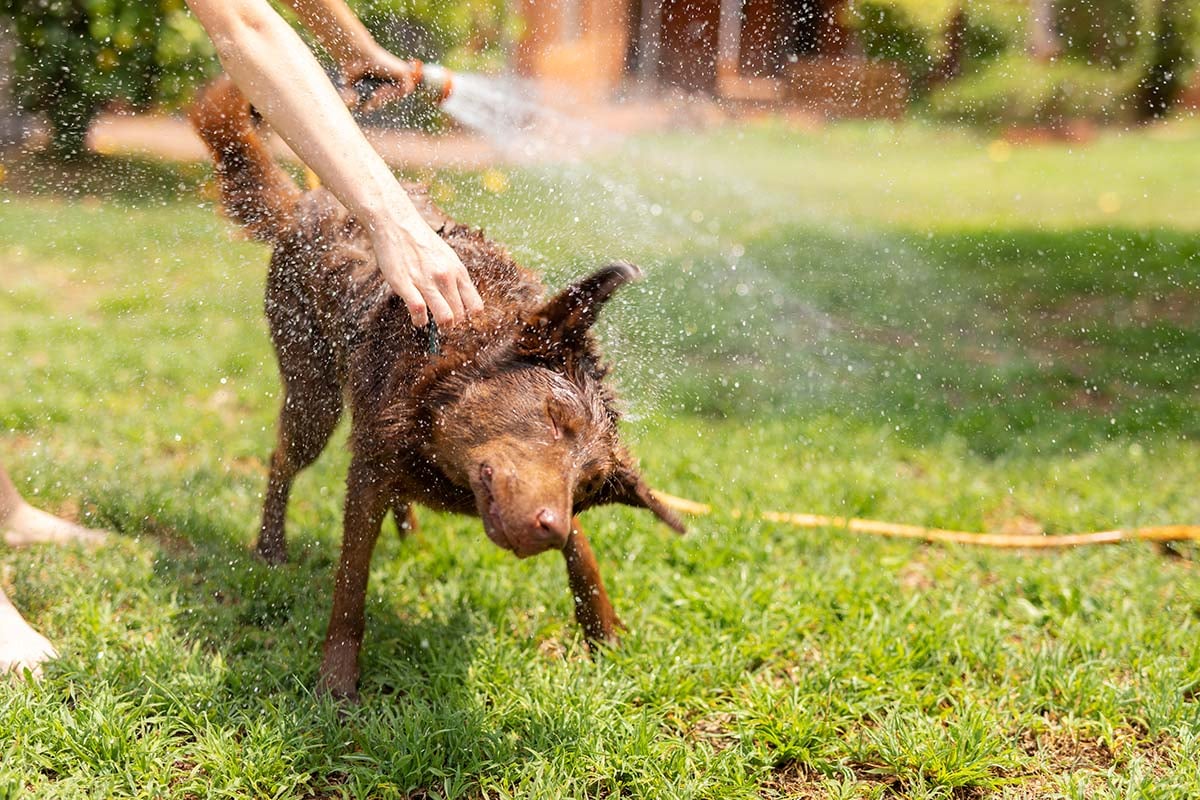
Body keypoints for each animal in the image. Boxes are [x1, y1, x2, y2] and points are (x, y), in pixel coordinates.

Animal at [193, 76, 691, 700]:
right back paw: (271, 548)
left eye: (591, 483)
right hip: (314, 397)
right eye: (555, 418)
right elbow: (350, 588)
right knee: (282, 459)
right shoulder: (372, 468)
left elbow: (586, 555)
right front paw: (337, 687)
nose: (548, 529)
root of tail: (307, 204)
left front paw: (603, 636)